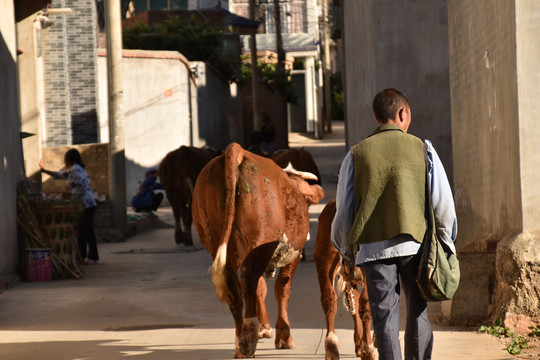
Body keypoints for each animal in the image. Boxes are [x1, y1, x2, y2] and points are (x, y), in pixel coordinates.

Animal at [192, 143, 322, 358]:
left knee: (235, 287)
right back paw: (249, 337)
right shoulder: (293, 253)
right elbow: (282, 288)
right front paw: (283, 336)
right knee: (249, 278)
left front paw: (266, 328)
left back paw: (240, 340)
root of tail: (237, 149)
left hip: (219, 243)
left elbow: (262, 289)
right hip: (261, 240)